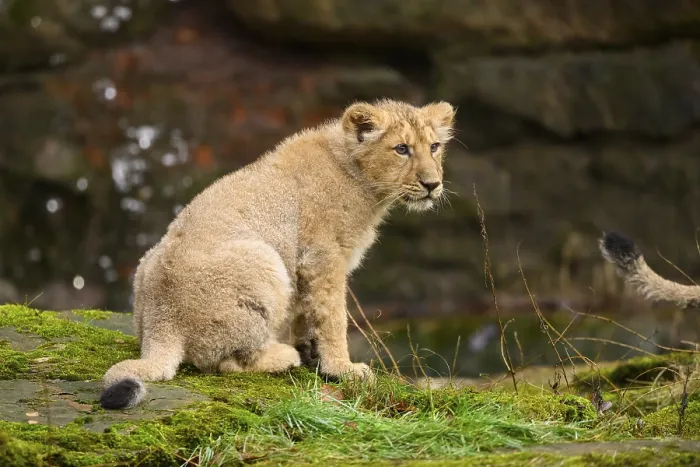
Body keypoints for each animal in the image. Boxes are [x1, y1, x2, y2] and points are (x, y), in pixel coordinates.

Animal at [99, 98, 456, 409]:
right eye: (402, 149)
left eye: (434, 147)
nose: (432, 185)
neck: (361, 178)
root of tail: (163, 322)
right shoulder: (323, 256)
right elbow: (333, 317)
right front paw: (342, 368)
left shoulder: (305, 265)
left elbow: (305, 312)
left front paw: (313, 353)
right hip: (263, 258)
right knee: (225, 363)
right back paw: (284, 357)